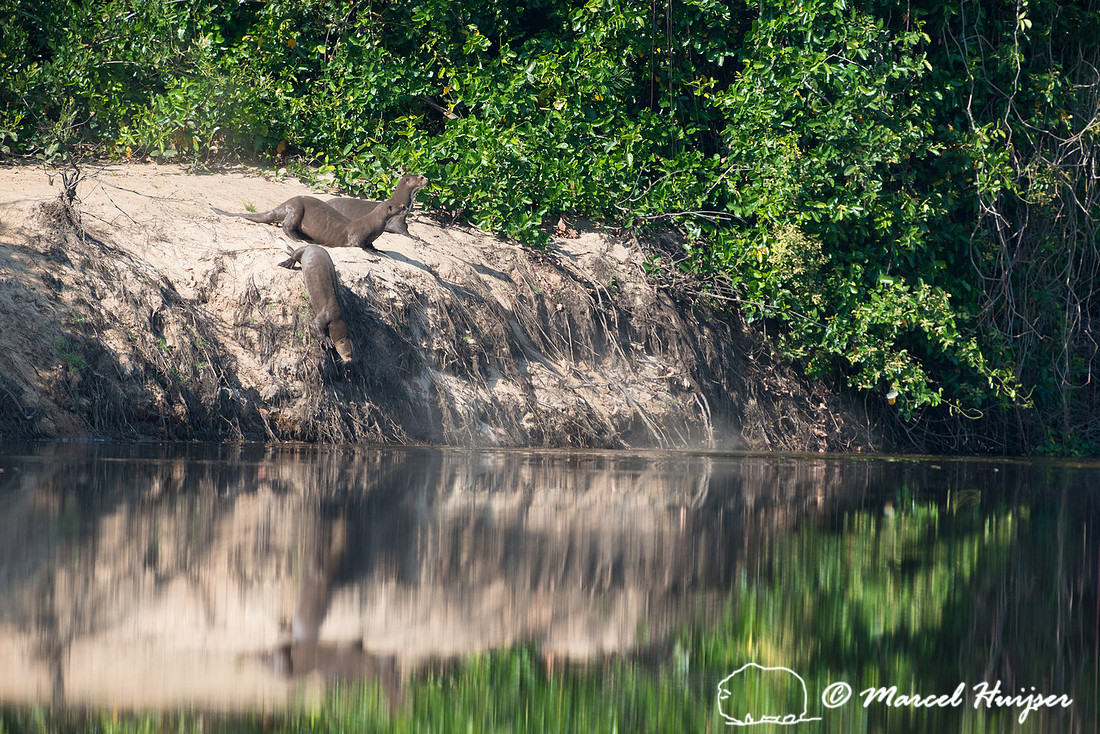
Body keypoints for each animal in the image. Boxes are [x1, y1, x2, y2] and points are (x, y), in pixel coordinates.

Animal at [214, 197, 405, 251]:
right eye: (400, 206)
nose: (406, 207)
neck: (373, 226)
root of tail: (283, 204)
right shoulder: (357, 236)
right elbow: (358, 244)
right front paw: (368, 251)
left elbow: (372, 245)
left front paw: (377, 250)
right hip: (296, 209)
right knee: (286, 226)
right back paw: (297, 239)